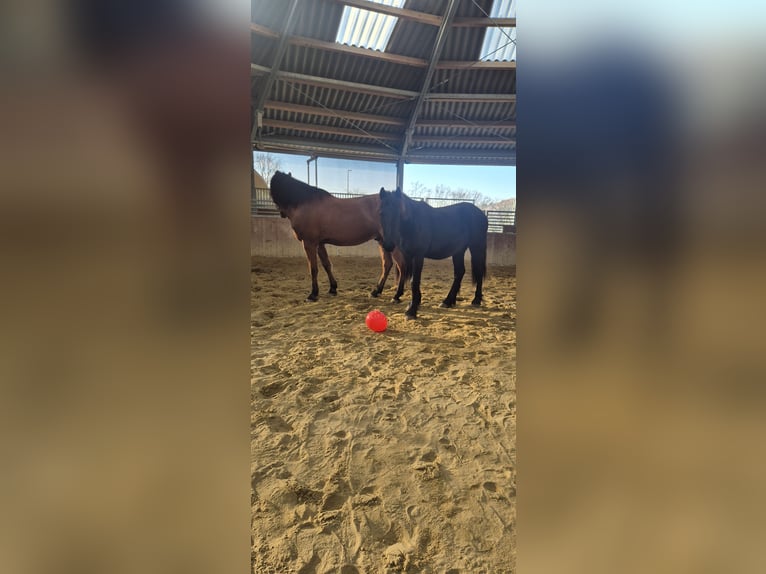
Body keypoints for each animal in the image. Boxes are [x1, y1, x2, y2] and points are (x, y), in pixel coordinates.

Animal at [269, 171, 406, 301]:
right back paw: (376, 291)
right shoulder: (320, 243)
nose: (281, 214)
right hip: (383, 241)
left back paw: (397, 295)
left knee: (402, 265)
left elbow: (313, 269)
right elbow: (327, 265)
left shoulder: (309, 243)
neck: (303, 203)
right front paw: (332, 288)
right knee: (387, 264)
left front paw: (313, 294)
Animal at [378, 187, 488, 319]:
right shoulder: (407, 255)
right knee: (459, 272)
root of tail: (481, 214)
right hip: (458, 251)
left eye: (398, 213)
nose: (388, 245)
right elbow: (405, 275)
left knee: (478, 271)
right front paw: (410, 301)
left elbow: (414, 281)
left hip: (477, 247)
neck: (413, 223)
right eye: (381, 213)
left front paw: (411, 310)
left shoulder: (418, 255)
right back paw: (447, 301)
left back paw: (476, 300)